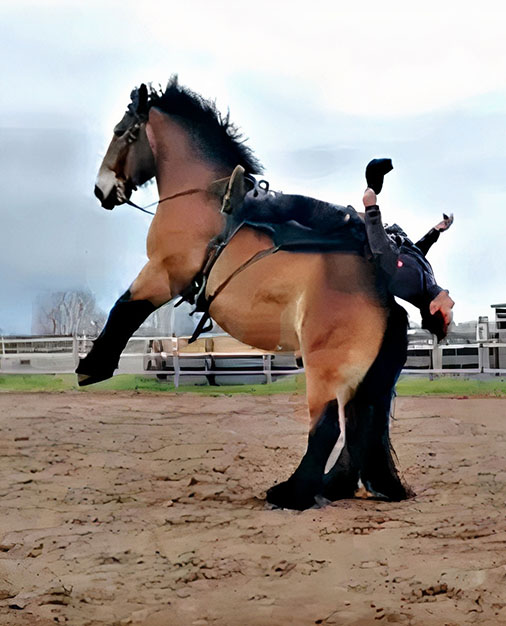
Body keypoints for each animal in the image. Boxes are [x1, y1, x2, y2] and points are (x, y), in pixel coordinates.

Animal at [80, 77, 412, 508]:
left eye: (121, 132)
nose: (101, 189)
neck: (203, 199)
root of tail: (385, 299)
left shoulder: (164, 272)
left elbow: (125, 306)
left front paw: (93, 365)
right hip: (356, 378)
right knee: (356, 428)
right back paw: (331, 487)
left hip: (325, 366)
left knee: (327, 427)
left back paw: (293, 493)